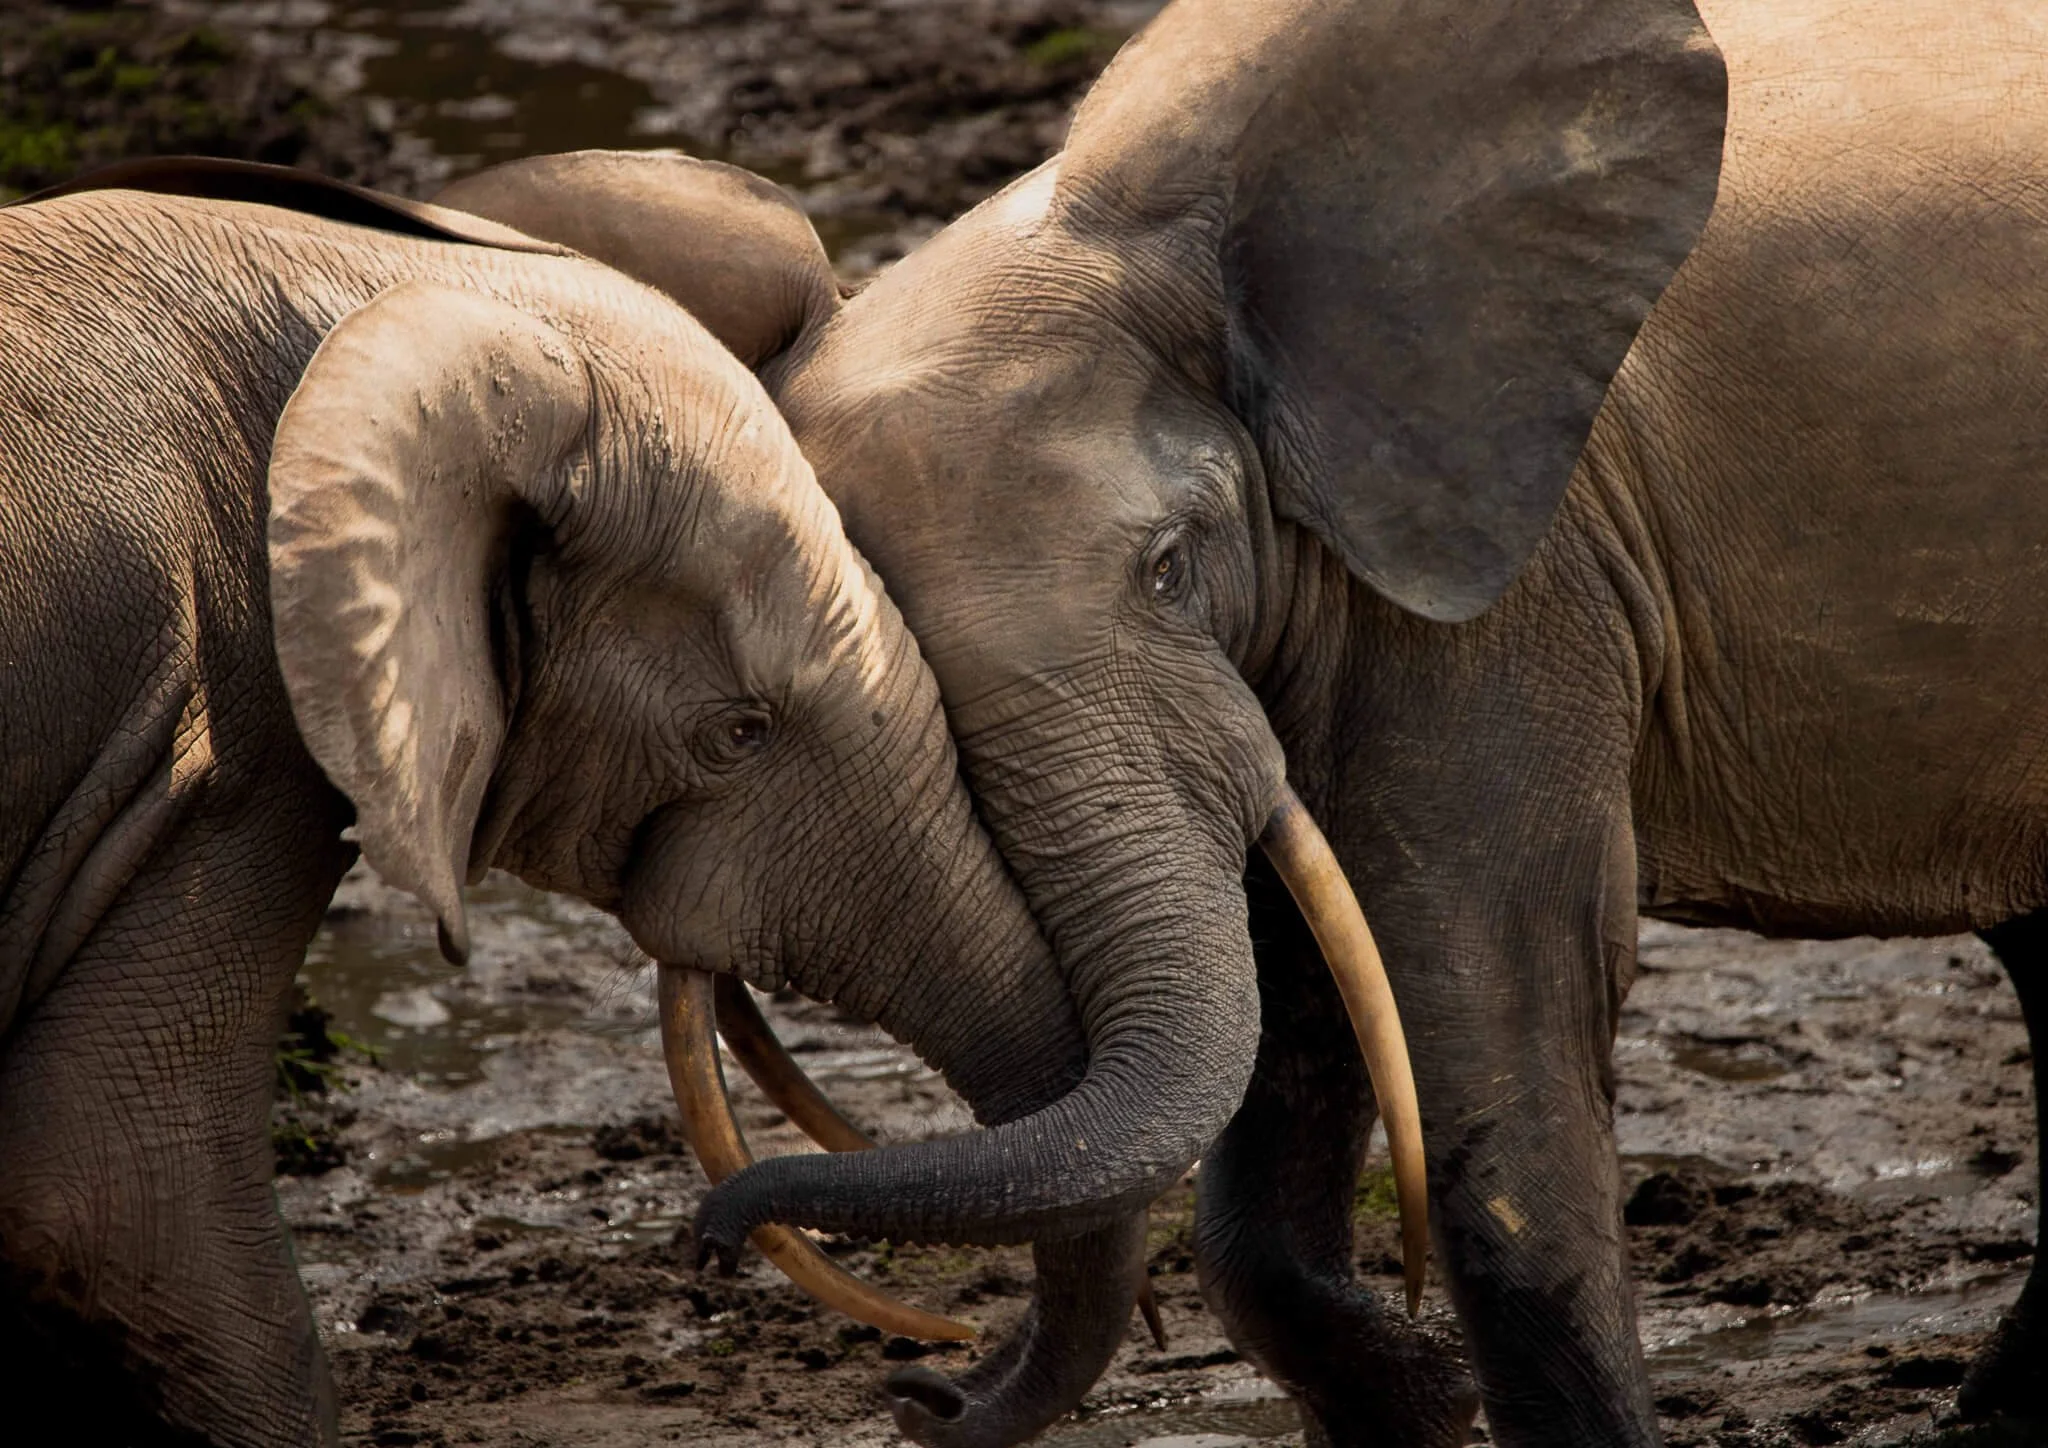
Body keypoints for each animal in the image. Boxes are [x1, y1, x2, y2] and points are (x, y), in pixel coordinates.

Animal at [433, 0, 2048, 1442]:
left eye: (1167, 566)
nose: (918, 1384)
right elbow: (1297, 999)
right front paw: (1417, 1397)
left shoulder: (1506, 571)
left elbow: (1487, 1013)